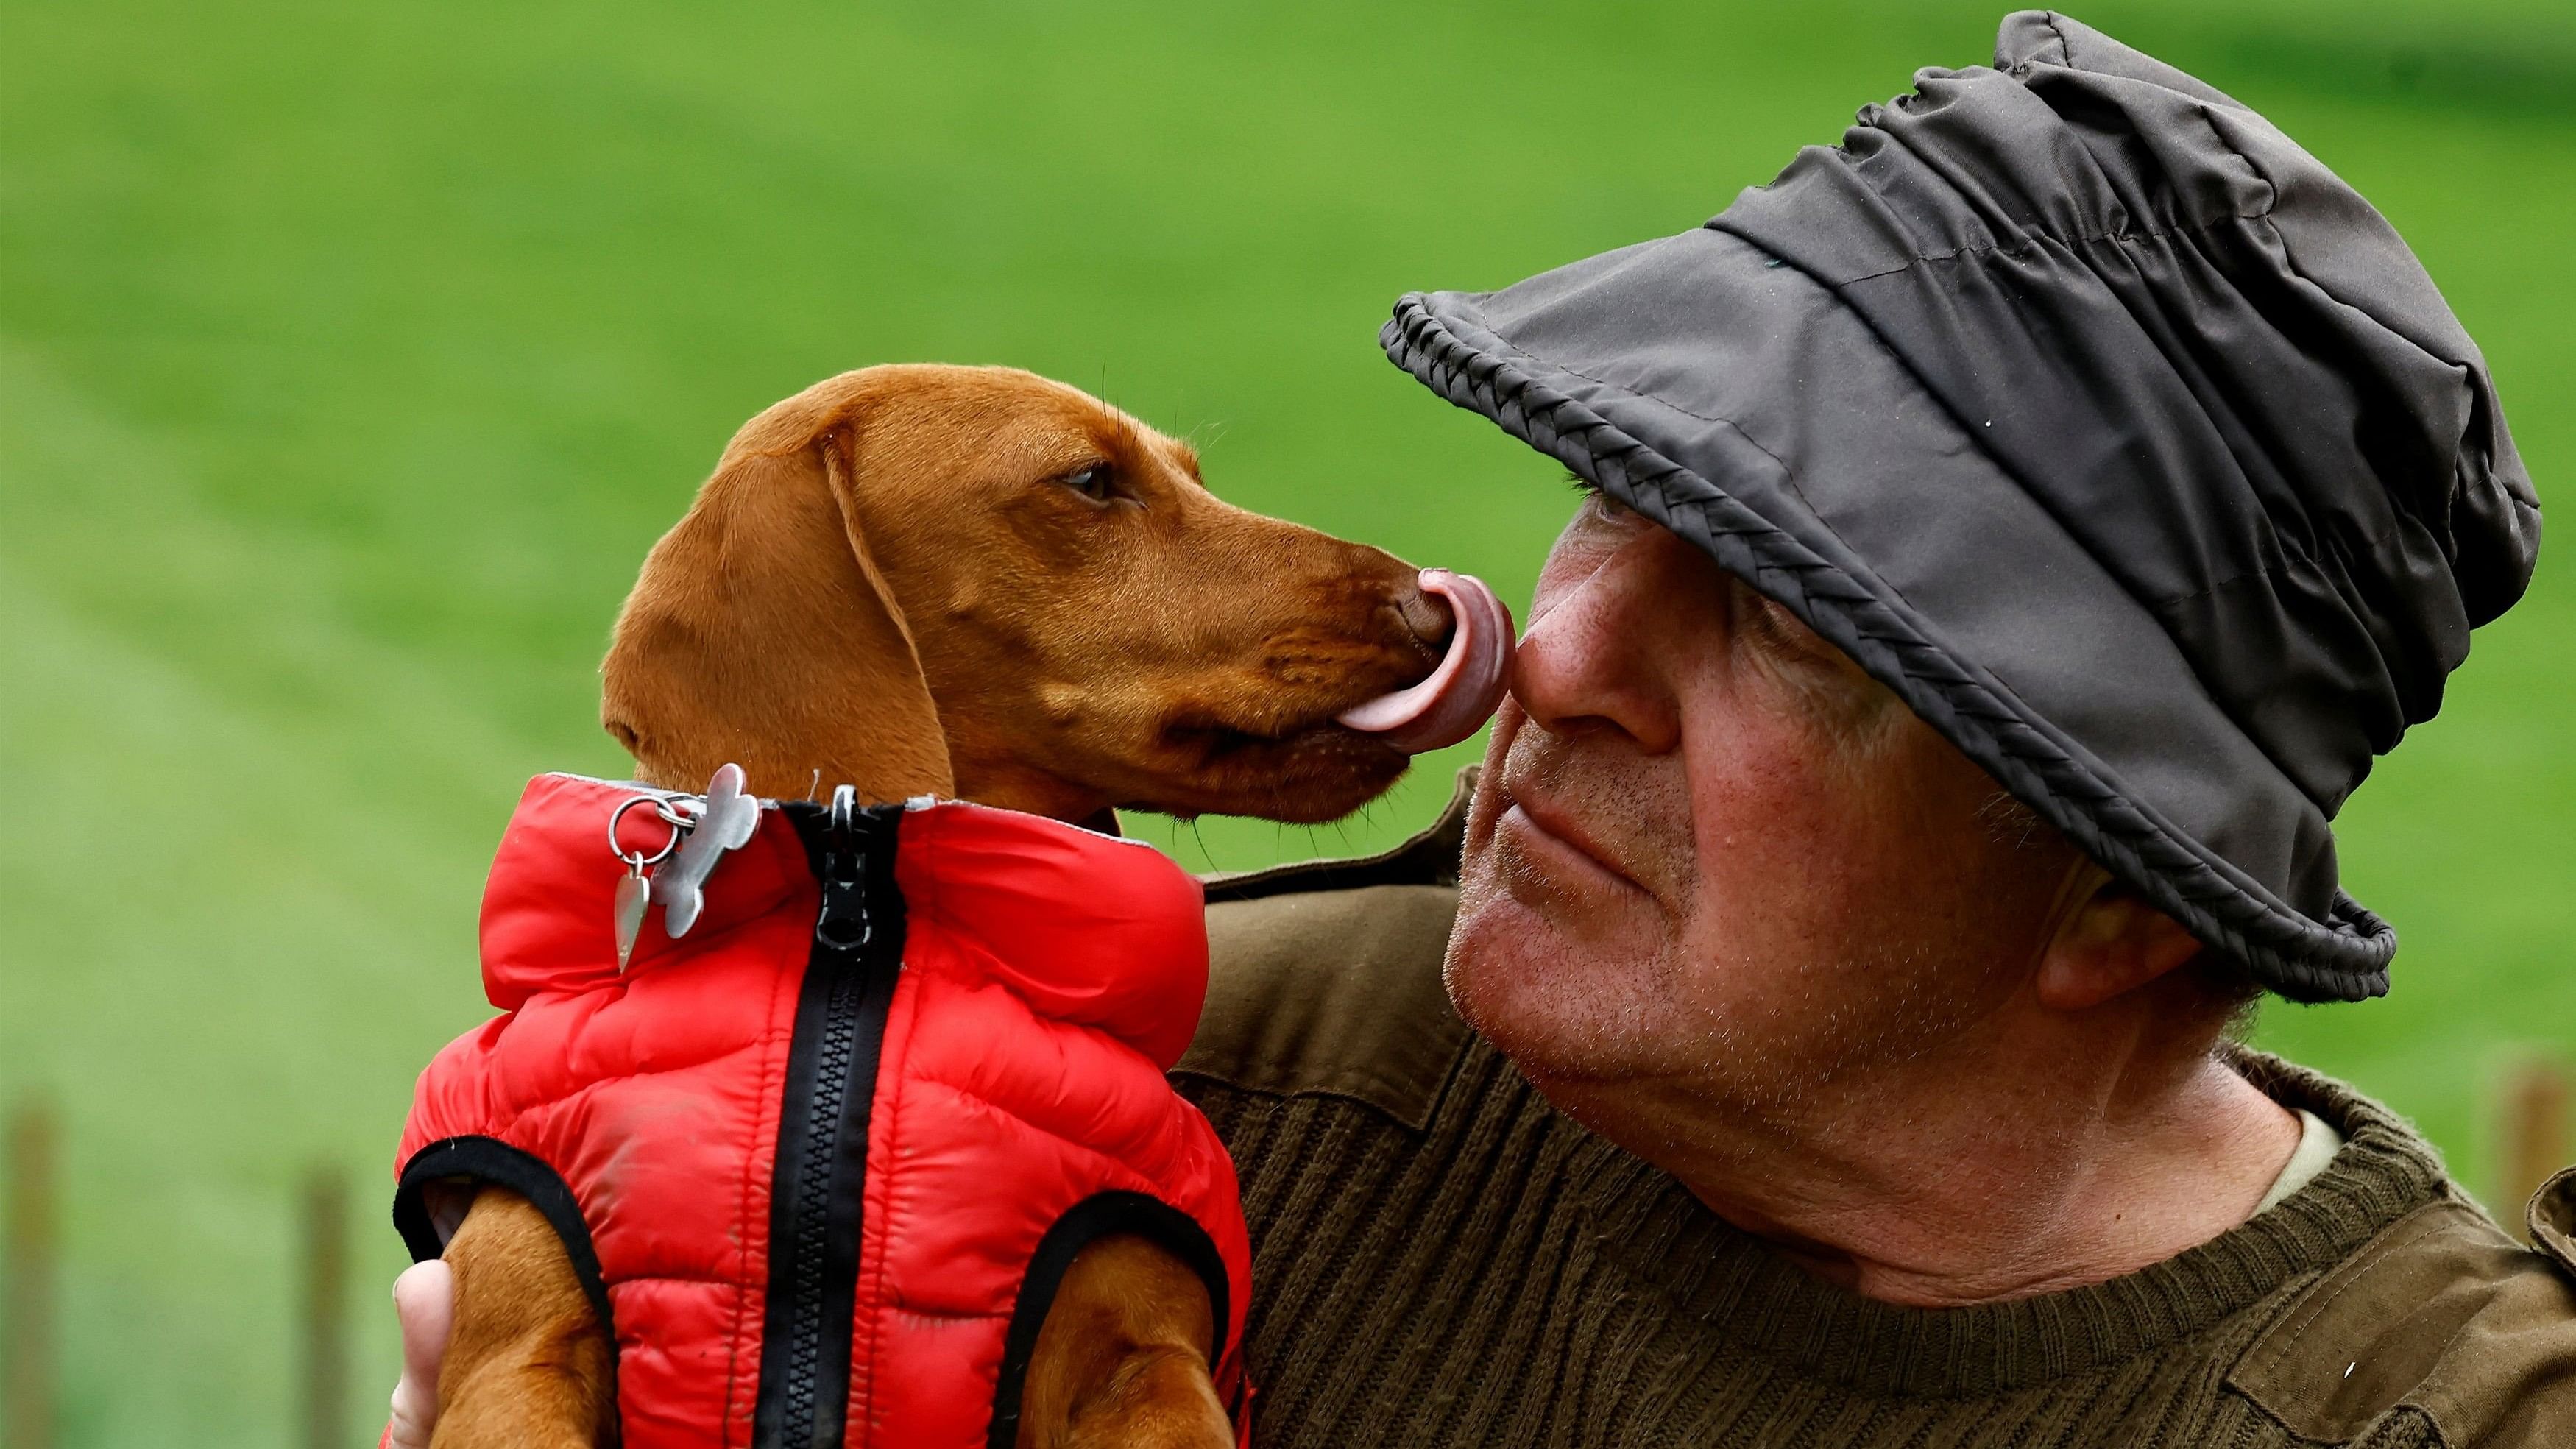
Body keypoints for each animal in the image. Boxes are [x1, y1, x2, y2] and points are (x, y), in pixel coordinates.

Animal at [402, 365, 1453, 1449]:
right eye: (1090, 480)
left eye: (1193, 477)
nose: (1436, 607)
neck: (859, 930)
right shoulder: (518, 1352)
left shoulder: (1143, 1362)